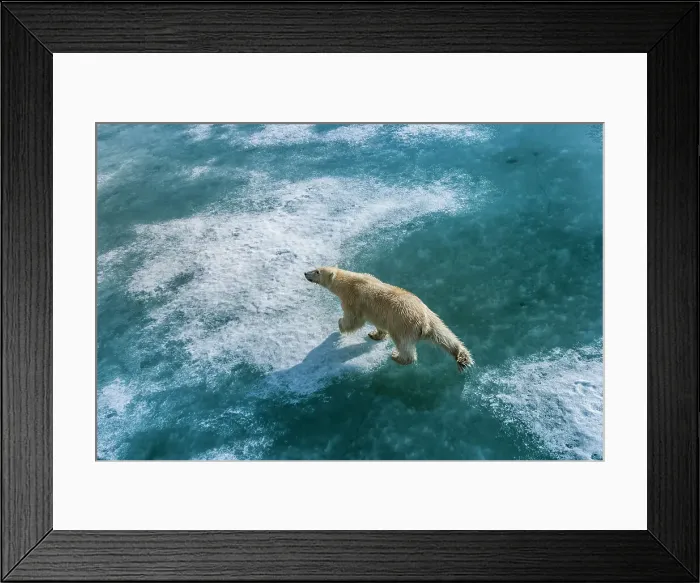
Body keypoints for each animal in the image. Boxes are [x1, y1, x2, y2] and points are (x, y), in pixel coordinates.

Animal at [304, 266, 474, 371]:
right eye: (315, 267)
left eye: (317, 271)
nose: (305, 273)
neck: (348, 281)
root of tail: (423, 322)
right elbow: (378, 324)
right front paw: (374, 334)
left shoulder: (353, 300)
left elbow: (354, 319)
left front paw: (340, 325)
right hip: (432, 317)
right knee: (445, 335)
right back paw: (462, 356)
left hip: (402, 323)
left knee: (403, 345)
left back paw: (397, 357)